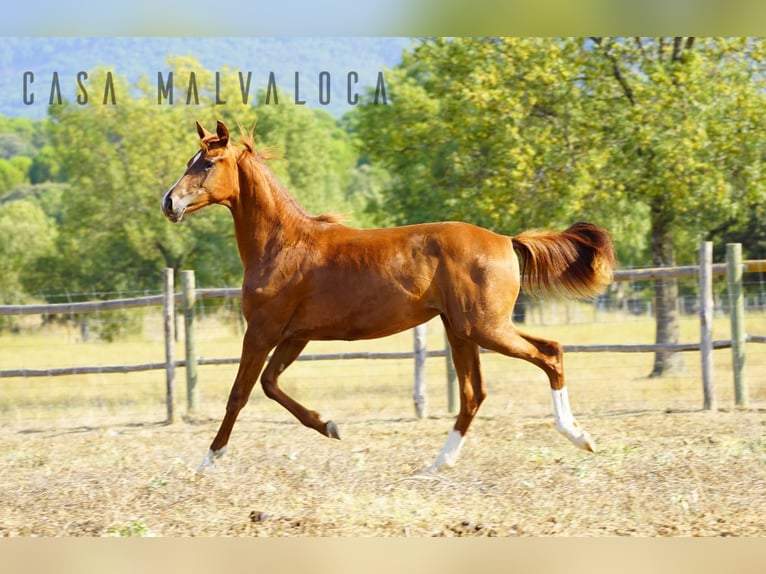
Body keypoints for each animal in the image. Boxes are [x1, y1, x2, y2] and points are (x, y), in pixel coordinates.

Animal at [162, 120, 616, 472]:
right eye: (189, 161)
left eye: (207, 163)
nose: (169, 203)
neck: (283, 244)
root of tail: (507, 240)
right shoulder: (295, 335)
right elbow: (271, 384)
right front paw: (329, 425)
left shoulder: (262, 330)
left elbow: (239, 394)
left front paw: (208, 460)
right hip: (461, 330)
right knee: (474, 393)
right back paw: (438, 464)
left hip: (484, 326)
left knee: (550, 353)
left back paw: (579, 436)